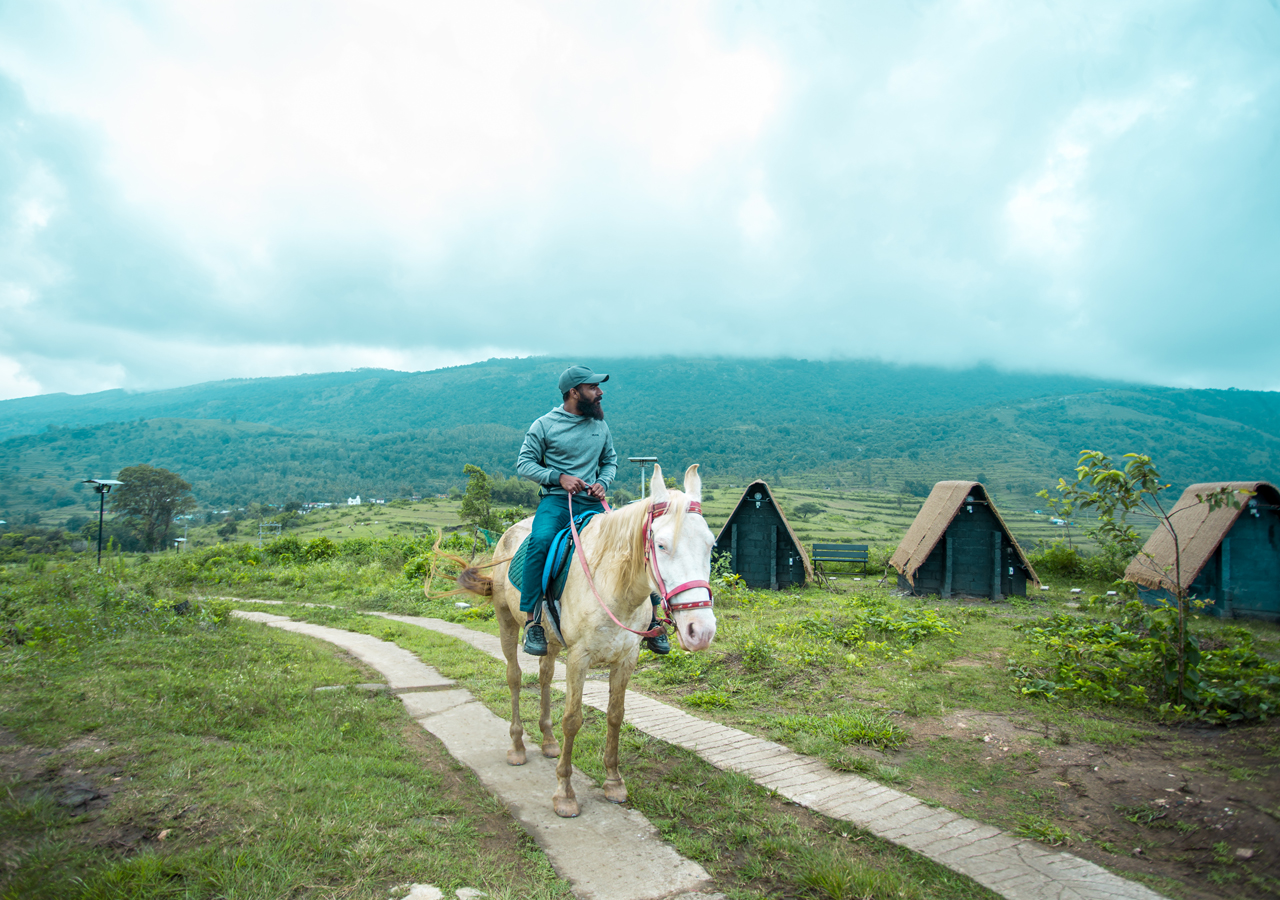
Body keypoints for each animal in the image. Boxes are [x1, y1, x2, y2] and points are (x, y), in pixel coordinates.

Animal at [458, 466, 721, 819]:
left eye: (710, 544)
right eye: (662, 545)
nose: (700, 631)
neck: (615, 587)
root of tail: (508, 534)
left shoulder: (626, 658)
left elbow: (615, 715)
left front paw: (613, 781)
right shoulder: (579, 658)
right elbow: (573, 720)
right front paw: (565, 794)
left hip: (550, 640)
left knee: (544, 676)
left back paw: (548, 741)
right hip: (506, 622)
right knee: (514, 678)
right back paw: (517, 747)